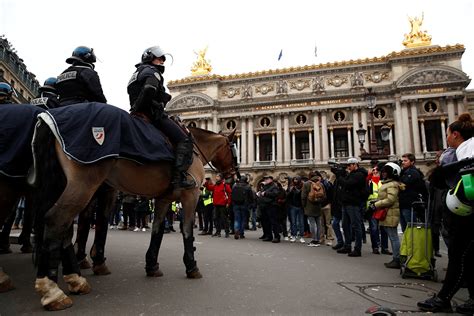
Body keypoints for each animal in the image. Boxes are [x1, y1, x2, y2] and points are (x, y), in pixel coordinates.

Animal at [30, 111, 237, 312]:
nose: (233, 176)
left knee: (63, 226)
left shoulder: (163, 199)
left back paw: (75, 279)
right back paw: (53, 291)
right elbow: (187, 231)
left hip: (64, 185)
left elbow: (157, 231)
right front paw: (192, 266)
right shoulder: (191, 195)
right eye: (234, 150)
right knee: (56, 220)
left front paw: (152, 266)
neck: (194, 148)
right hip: (84, 184)